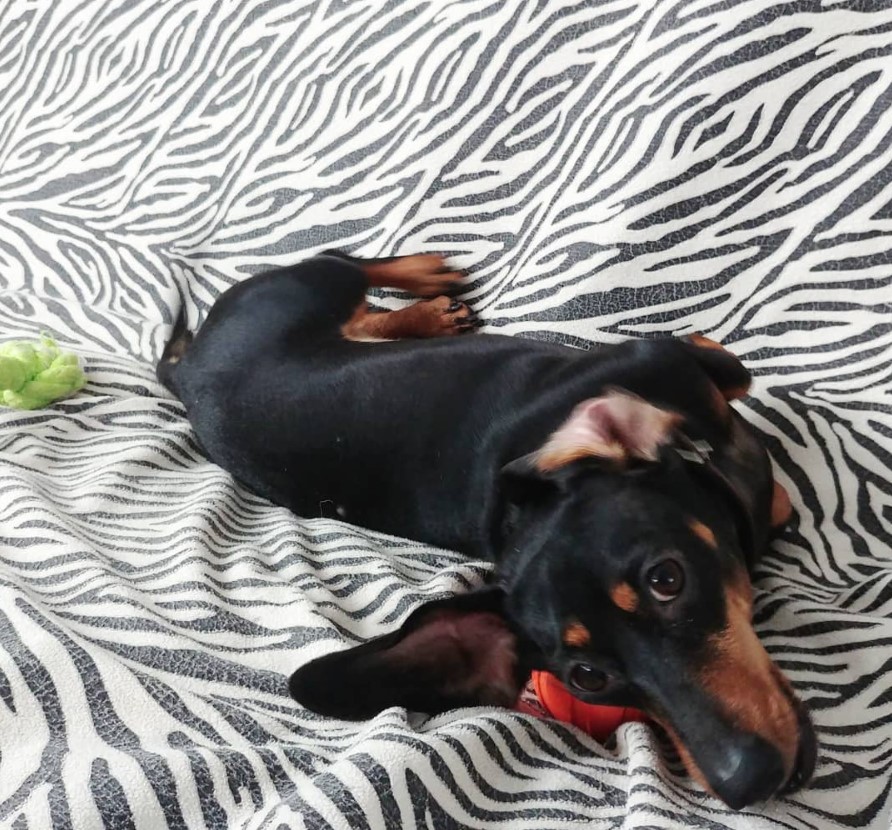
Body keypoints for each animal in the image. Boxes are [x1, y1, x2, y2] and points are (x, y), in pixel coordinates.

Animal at [159, 254, 816, 812]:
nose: (748, 781)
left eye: (666, 579)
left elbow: (728, 377)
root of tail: (187, 371)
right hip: (302, 294)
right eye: (588, 678)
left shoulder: (666, 361)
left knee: (352, 280)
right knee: (344, 267)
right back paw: (426, 291)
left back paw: (427, 297)